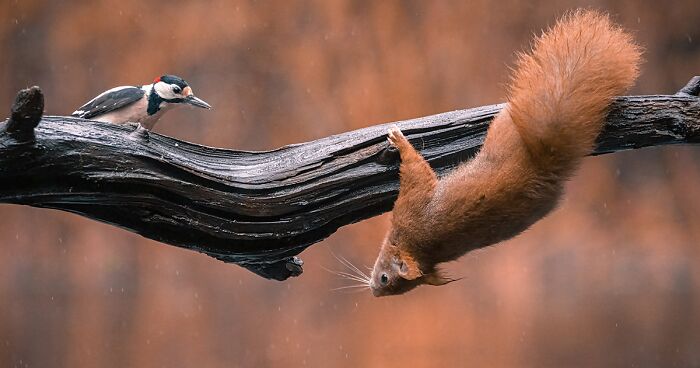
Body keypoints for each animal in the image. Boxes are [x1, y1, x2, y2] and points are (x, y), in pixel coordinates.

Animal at [370, 10, 644, 296]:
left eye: (385, 279)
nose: (374, 290)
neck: (418, 247)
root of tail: (543, 163)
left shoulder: (413, 205)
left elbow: (415, 170)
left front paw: (399, 140)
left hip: (503, 129)